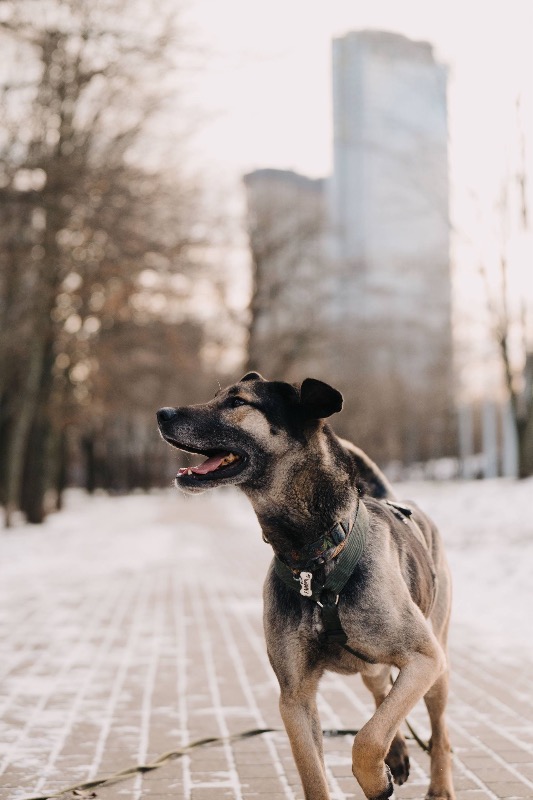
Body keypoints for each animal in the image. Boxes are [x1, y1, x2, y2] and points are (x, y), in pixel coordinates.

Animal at [157, 373, 455, 800]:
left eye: (237, 402)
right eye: (216, 396)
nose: (161, 414)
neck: (313, 558)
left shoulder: (422, 659)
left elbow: (368, 737)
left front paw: (373, 778)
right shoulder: (294, 697)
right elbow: (317, 769)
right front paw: (380, 766)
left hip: (437, 667)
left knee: (437, 729)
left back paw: (440, 784)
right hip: (374, 665)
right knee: (381, 691)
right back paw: (397, 752)